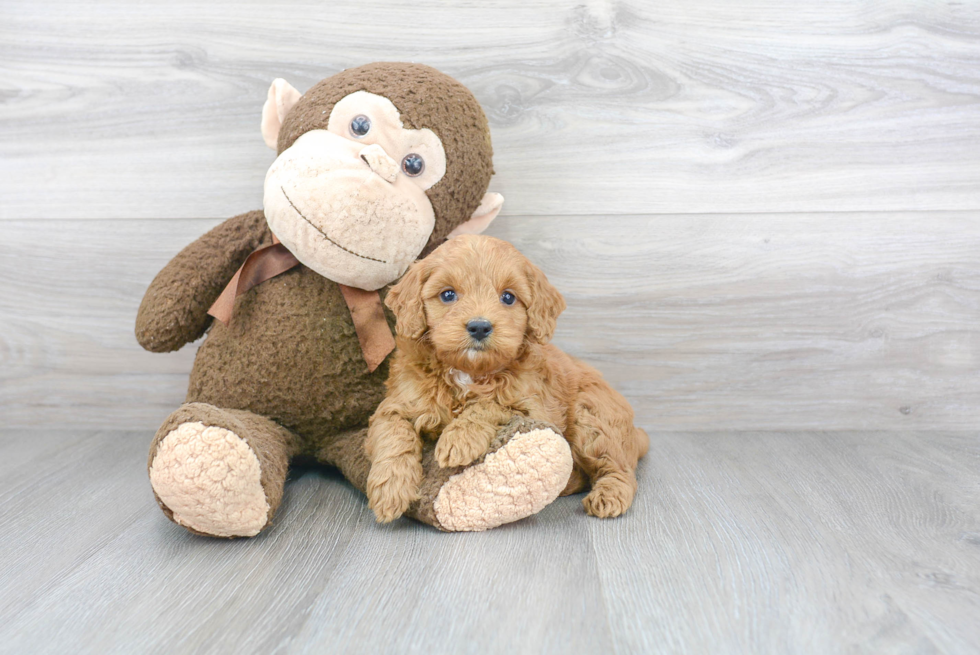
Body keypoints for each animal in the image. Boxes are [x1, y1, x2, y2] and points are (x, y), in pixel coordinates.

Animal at [364, 234, 648, 524]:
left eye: (508, 297)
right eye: (448, 294)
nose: (479, 326)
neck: (468, 372)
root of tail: (635, 433)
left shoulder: (535, 408)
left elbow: (490, 404)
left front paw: (459, 439)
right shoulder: (396, 404)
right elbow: (394, 436)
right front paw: (390, 491)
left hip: (591, 418)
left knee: (619, 468)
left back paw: (609, 496)